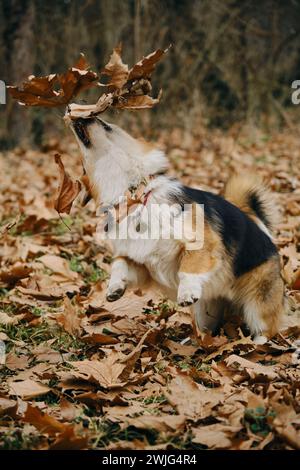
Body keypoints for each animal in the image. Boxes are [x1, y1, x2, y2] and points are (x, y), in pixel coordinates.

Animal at [67, 114, 286, 342]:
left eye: (105, 124)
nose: (79, 114)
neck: (135, 199)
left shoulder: (202, 242)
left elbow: (188, 267)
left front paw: (186, 291)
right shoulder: (140, 263)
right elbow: (119, 264)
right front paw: (114, 288)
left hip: (257, 303)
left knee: (266, 329)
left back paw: (257, 344)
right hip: (205, 312)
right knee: (207, 331)